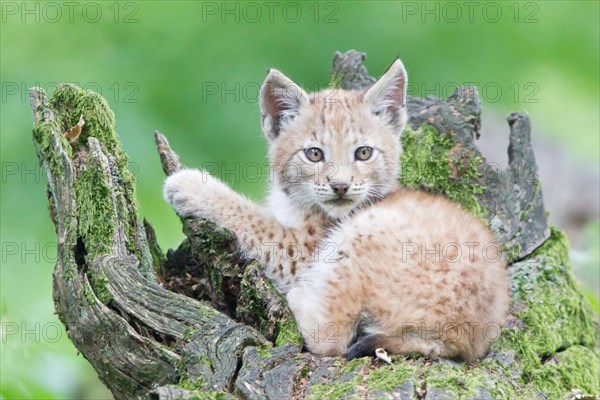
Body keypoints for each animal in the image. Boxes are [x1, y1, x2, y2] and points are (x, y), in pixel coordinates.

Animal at [165, 59, 510, 362]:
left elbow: (251, 218)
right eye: (314, 154)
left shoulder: (300, 249)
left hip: (362, 234)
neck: (299, 200)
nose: (341, 186)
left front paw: (190, 185)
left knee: (333, 338)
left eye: (364, 153)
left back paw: (299, 299)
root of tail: (459, 338)